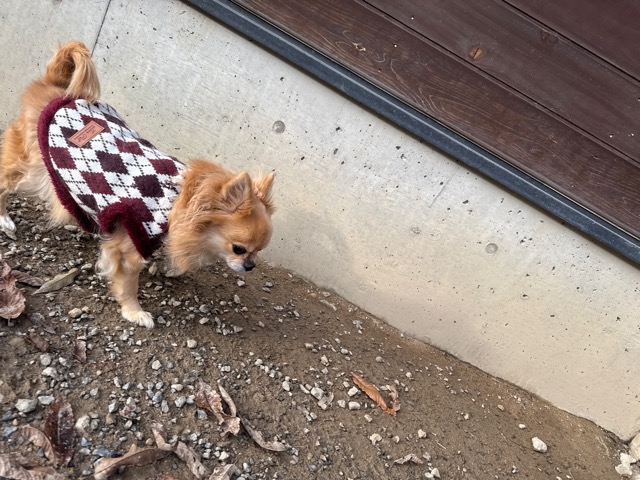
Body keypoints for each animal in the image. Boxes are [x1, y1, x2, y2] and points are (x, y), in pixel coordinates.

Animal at [0, 41, 275, 328]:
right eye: (238, 249)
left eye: (258, 251)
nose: (251, 266)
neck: (177, 202)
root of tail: (54, 86)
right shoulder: (128, 251)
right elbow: (129, 285)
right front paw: (134, 312)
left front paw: (164, 266)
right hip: (31, 169)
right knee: (4, 184)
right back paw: (4, 219)